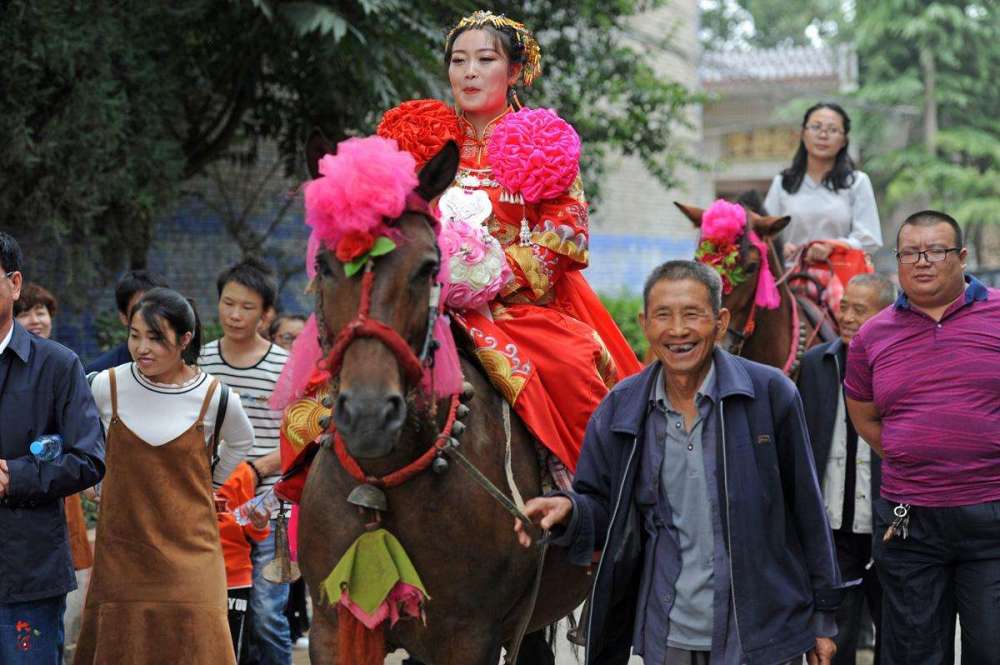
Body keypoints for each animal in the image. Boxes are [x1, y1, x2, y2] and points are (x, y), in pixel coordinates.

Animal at [300, 136, 588, 664]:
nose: (369, 414)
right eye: (324, 265)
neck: (385, 477)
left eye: (429, 267)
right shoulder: (331, 626)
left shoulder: (469, 636)